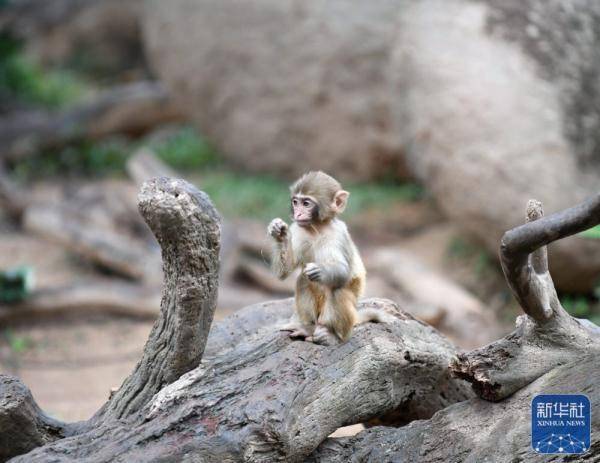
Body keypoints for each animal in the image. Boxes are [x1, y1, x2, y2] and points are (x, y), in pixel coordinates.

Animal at [268, 171, 384, 344]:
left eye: (306, 203)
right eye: (295, 202)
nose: (298, 213)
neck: (316, 228)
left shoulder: (338, 235)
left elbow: (343, 271)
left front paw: (321, 271)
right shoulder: (298, 229)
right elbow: (284, 272)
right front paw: (279, 233)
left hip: (340, 316)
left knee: (338, 289)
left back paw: (333, 335)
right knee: (303, 279)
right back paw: (307, 327)